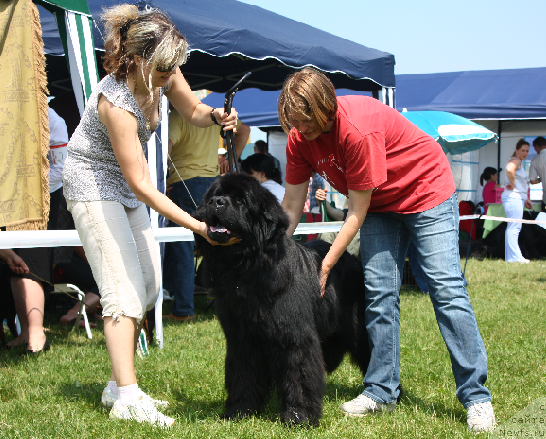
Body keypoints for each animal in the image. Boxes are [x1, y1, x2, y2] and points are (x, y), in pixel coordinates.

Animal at [192, 174, 370, 426]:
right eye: (214, 196)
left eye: (241, 201)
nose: (217, 202)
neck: (246, 269)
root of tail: (352, 259)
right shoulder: (242, 338)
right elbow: (243, 373)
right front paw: (240, 410)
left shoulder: (294, 335)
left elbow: (299, 372)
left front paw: (300, 416)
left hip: (359, 326)